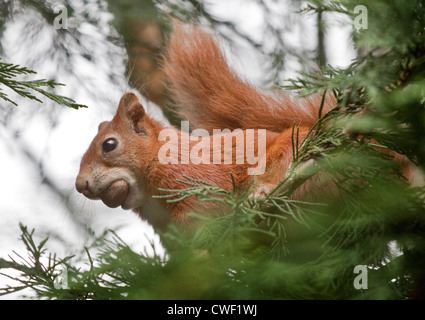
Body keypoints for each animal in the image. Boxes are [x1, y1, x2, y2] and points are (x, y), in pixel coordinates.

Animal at [74, 23, 412, 231]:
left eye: (109, 144)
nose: (80, 185)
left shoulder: (195, 179)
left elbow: (207, 213)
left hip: (300, 155)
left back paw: (262, 192)